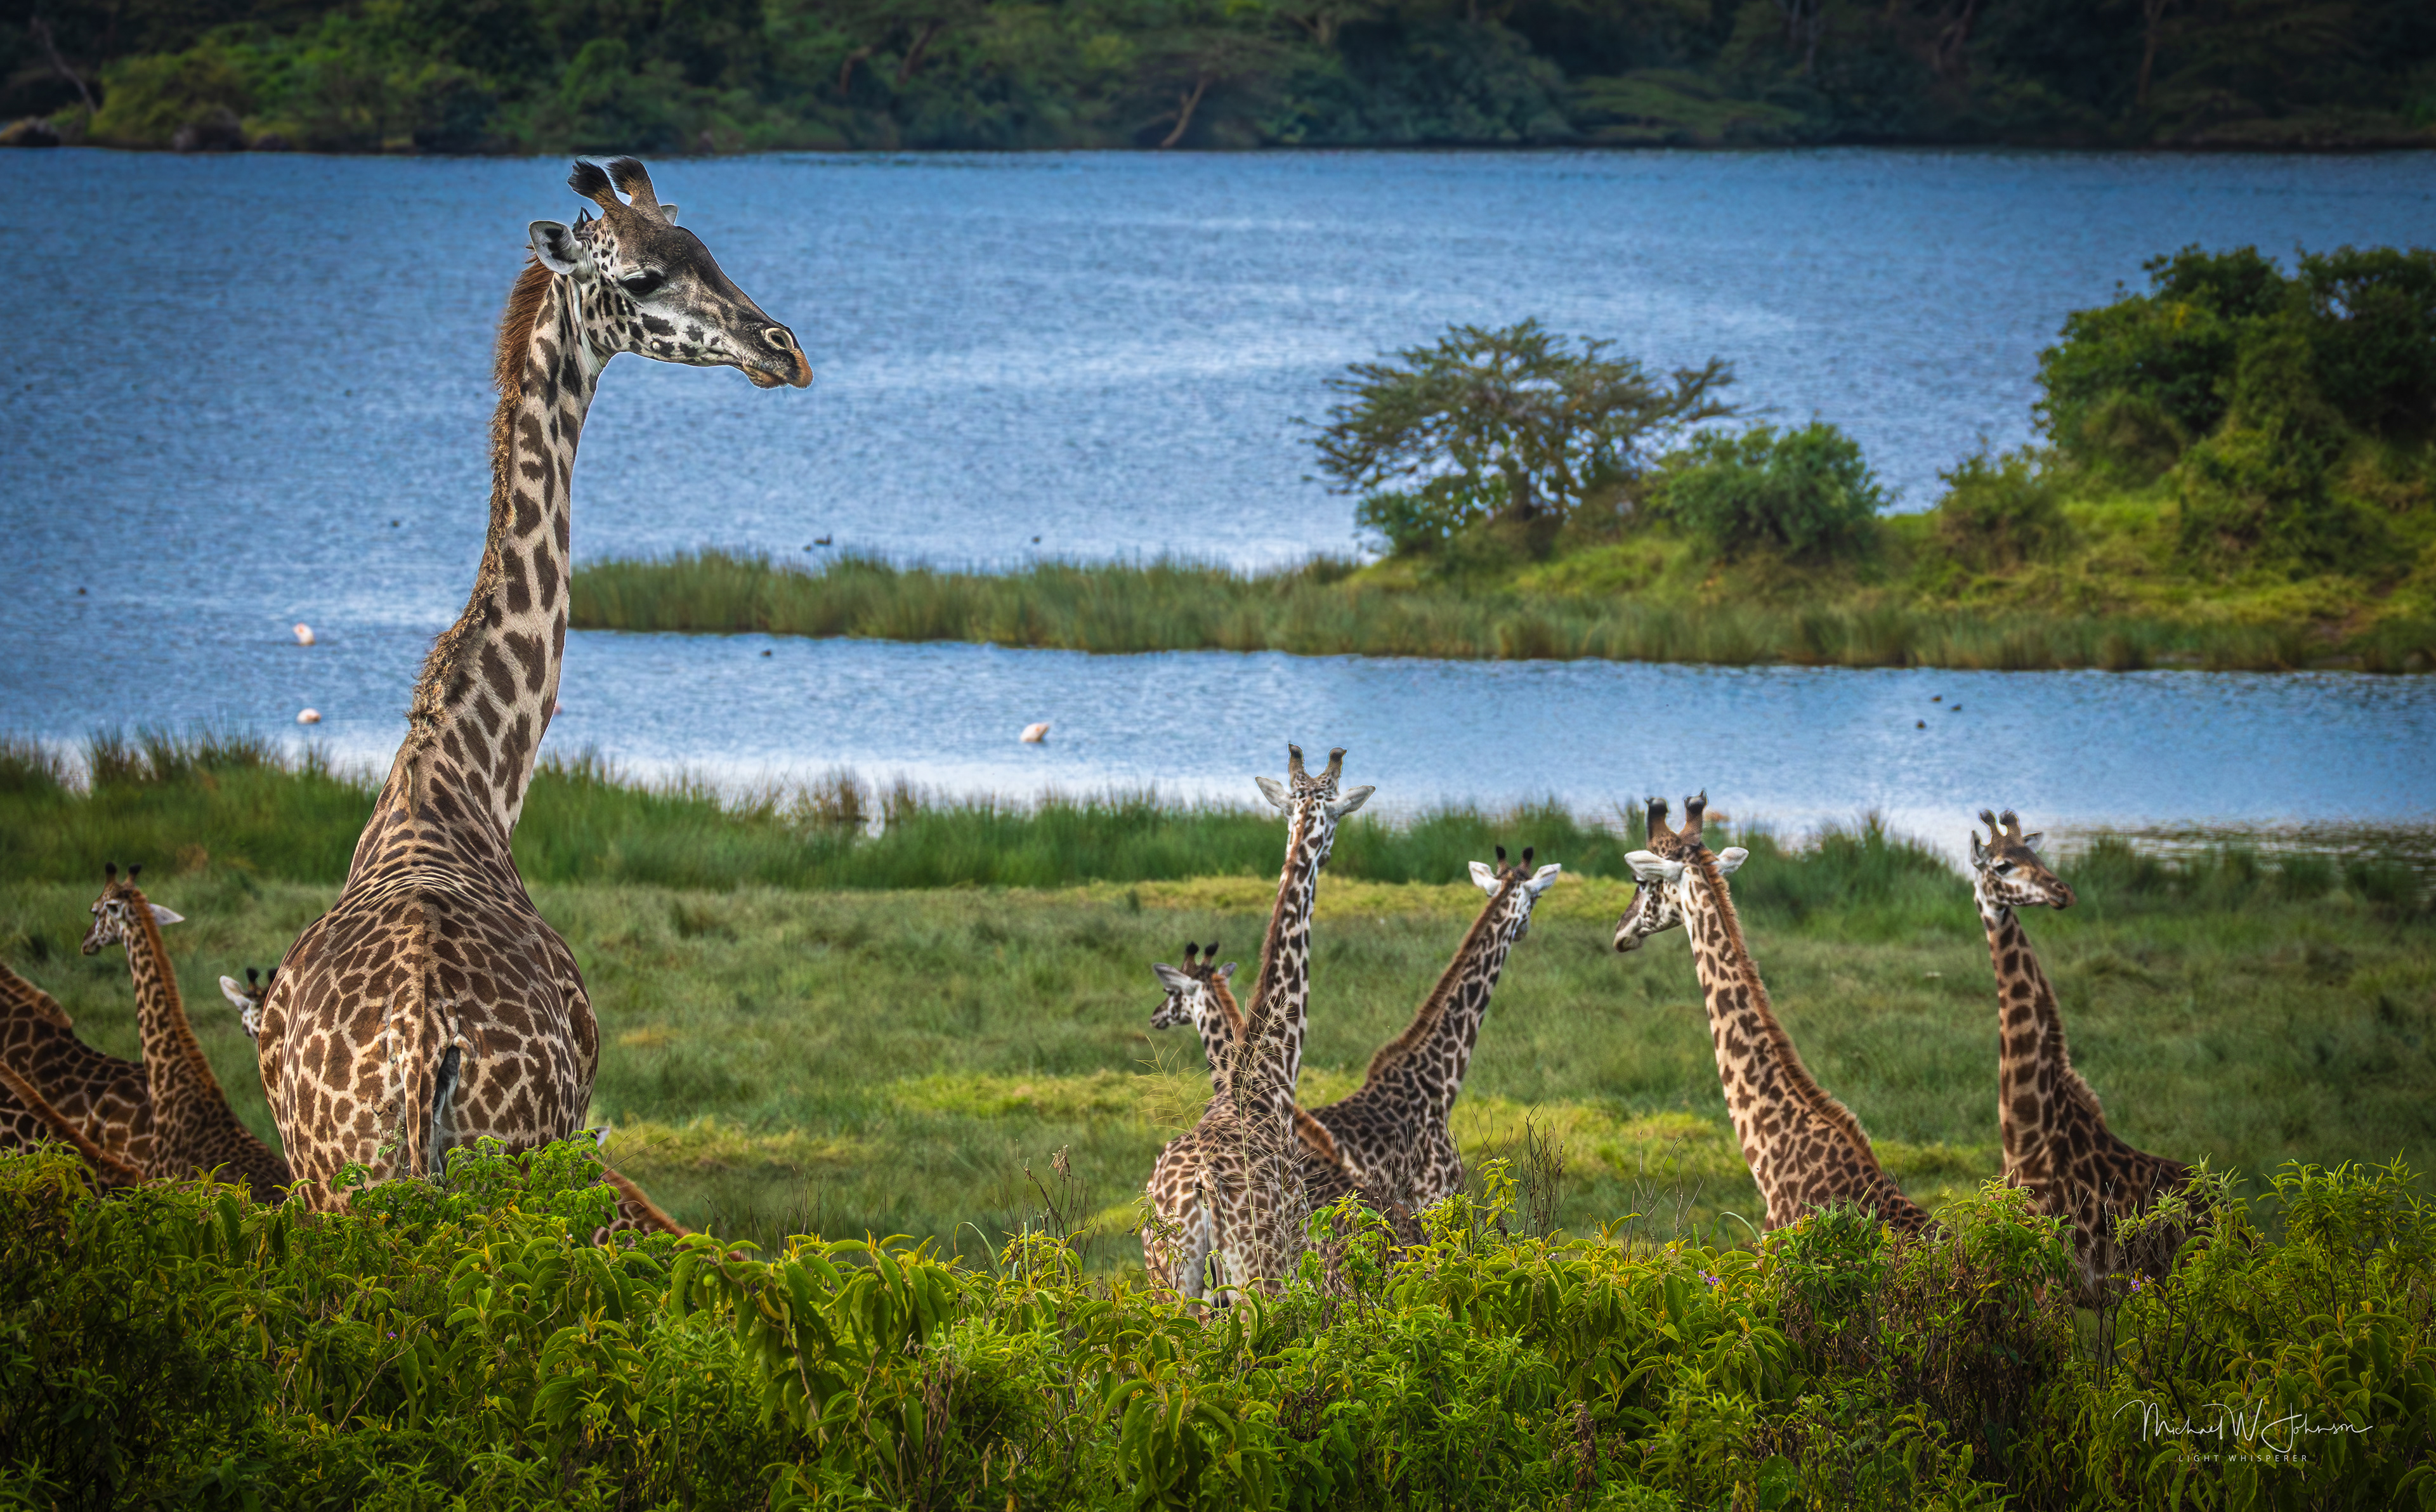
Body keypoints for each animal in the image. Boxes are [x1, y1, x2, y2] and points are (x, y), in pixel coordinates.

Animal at [252, 158, 810, 1205]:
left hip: (340, 1179)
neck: (463, 781)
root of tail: (422, 1049)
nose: (784, 350)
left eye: (707, 250)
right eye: (640, 277)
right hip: (510, 1153)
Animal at [1141, 745, 1371, 1302]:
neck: (1270, 1072)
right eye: (1337, 815)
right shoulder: (1296, 1244)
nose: (1156, 1016)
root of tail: (1197, 1191)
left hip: (1169, 1273)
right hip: (1254, 1268)